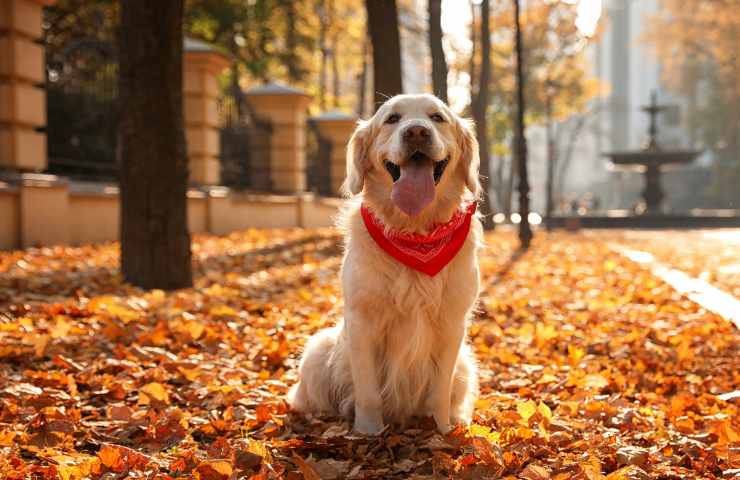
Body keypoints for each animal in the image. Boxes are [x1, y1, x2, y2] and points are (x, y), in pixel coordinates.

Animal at [286, 94, 482, 436]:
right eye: (392, 119)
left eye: (437, 117)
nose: (416, 132)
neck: (414, 231)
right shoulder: (362, 320)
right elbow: (368, 390)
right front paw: (368, 431)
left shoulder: (452, 324)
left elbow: (439, 390)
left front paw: (441, 430)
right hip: (317, 348)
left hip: (466, 363)